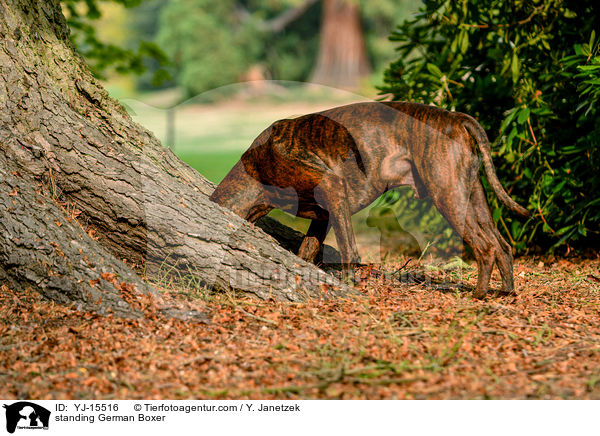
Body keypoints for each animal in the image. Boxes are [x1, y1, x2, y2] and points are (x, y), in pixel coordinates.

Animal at [211, 102, 528, 300]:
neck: (258, 167)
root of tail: (455, 118)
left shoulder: (333, 191)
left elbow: (349, 251)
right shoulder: (323, 216)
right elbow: (306, 251)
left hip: (447, 196)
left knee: (485, 247)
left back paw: (479, 295)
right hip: (472, 198)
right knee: (502, 245)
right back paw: (507, 291)